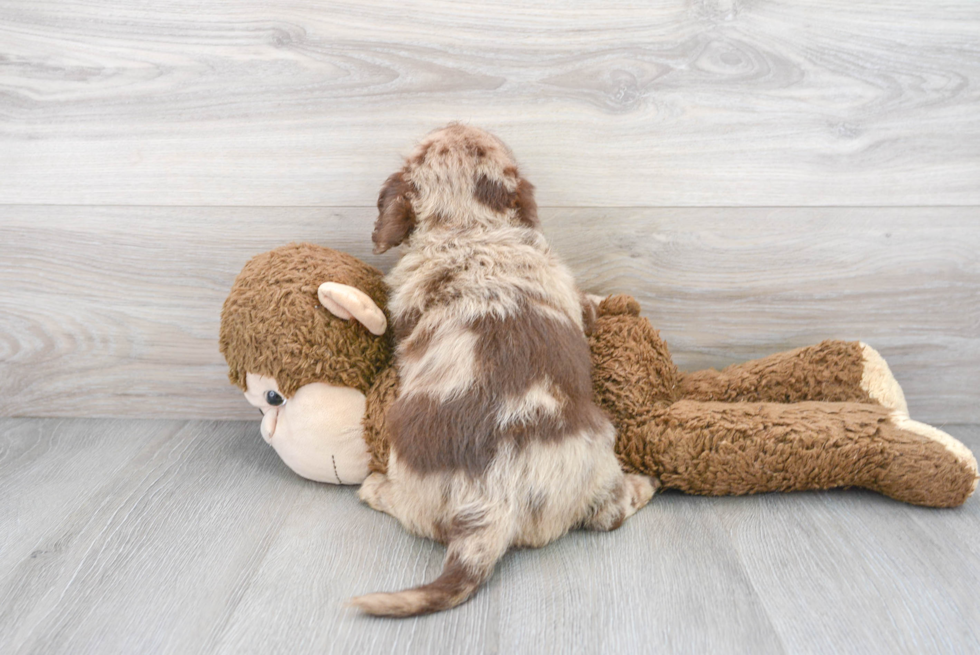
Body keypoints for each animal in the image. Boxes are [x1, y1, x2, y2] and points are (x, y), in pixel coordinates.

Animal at [348, 125, 656, 616]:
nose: (456, 122)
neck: (470, 229)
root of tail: (493, 503)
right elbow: (589, 304)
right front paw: (611, 302)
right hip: (599, 457)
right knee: (608, 514)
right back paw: (645, 484)